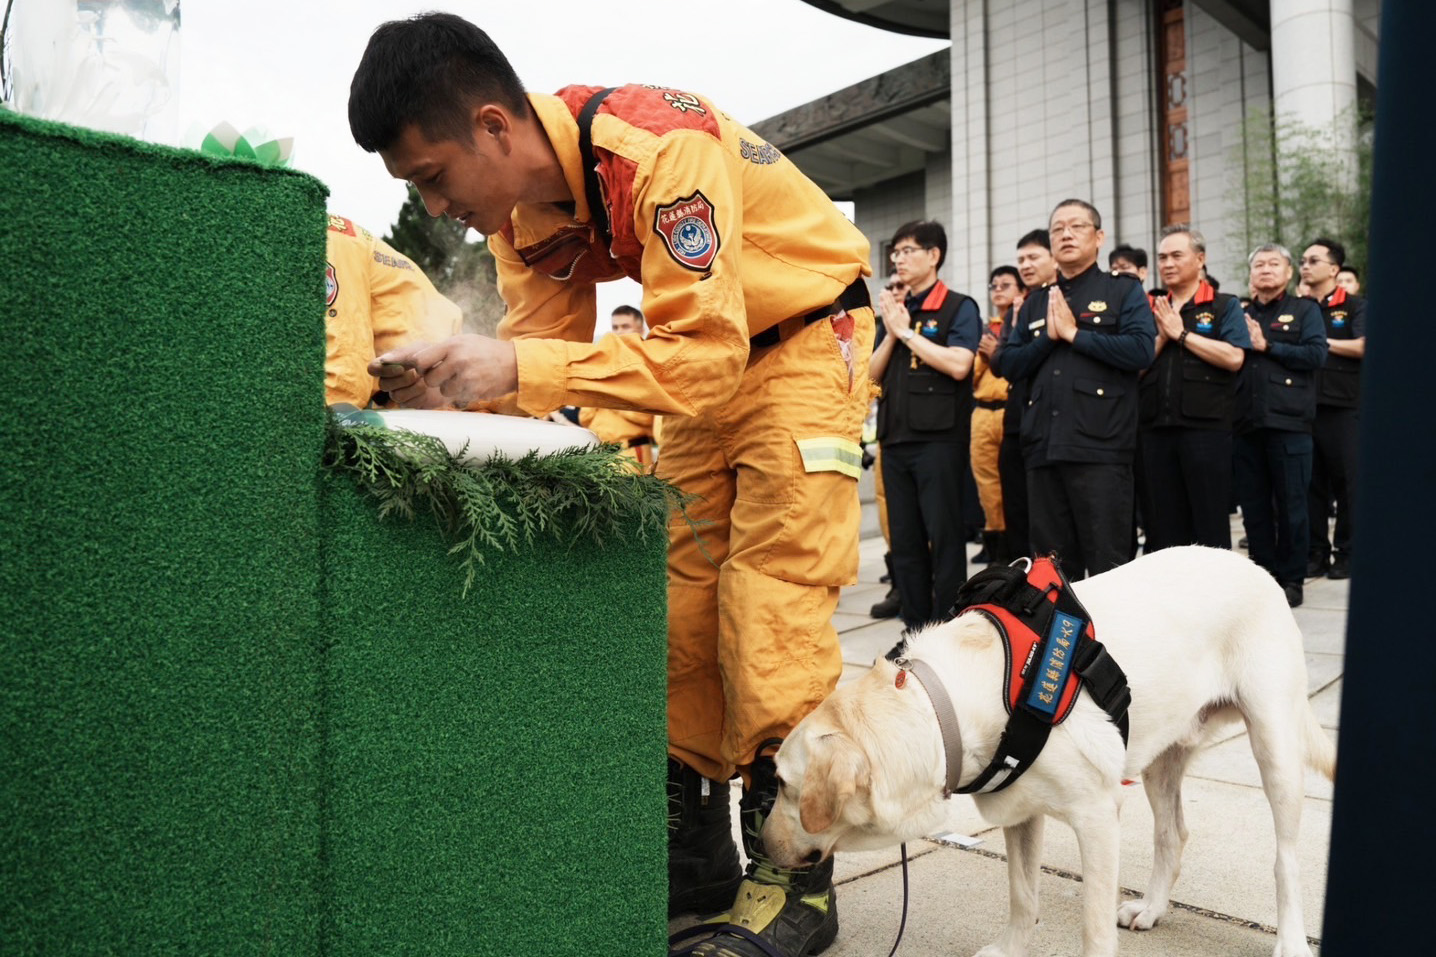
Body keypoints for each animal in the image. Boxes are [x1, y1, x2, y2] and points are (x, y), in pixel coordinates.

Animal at [763, 543, 1332, 954]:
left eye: (785, 785)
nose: (763, 848)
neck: (950, 702)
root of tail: (1250, 564)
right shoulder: (1019, 811)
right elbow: (1022, 894)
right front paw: (1011, 949)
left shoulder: (1099, 816)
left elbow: (1093, 929)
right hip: (1162, 756)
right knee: (1172, 835)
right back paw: (1152, 907)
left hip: (1274, 744)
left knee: (1285, 858)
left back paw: (1289, 941)